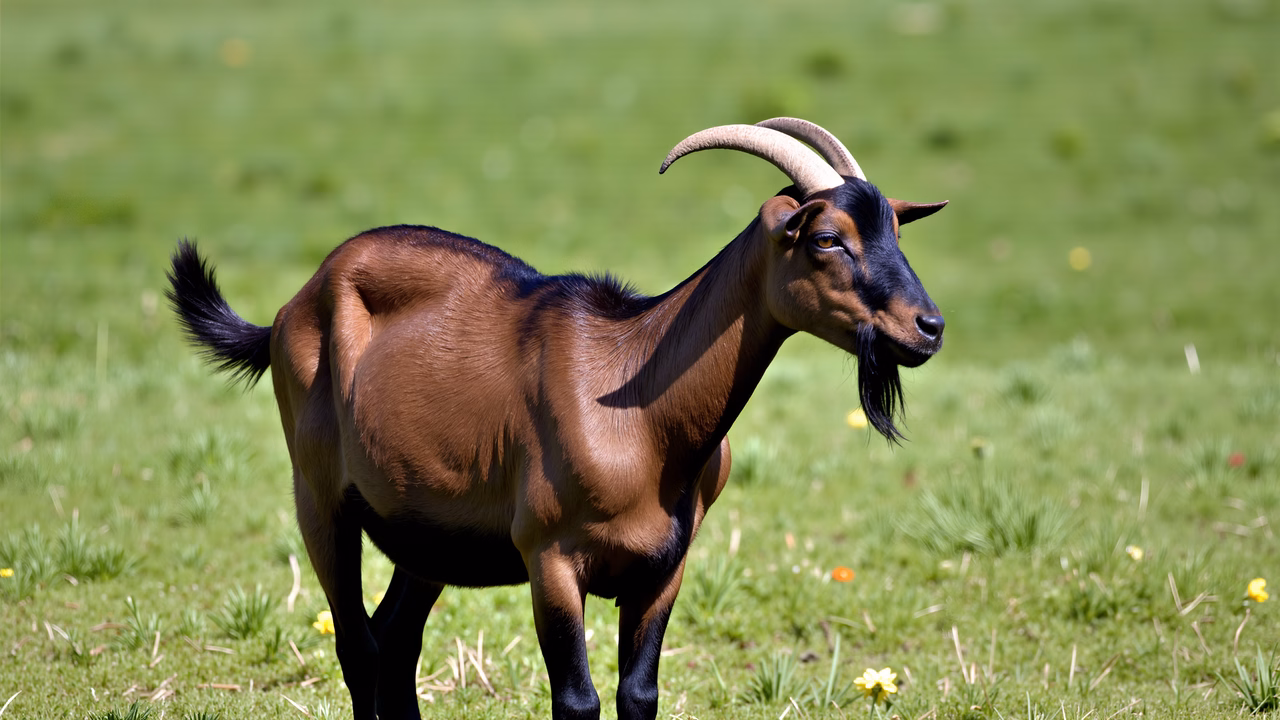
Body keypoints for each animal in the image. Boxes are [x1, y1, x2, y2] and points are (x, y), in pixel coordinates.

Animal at [167, 117, 948, 720]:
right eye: (826, 238)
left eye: (896, 233)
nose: (929, 327)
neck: (642, 408)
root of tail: (294, 304)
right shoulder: (550, 556)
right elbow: (577, 700)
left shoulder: (665, 565)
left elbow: (638, 695)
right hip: (319, 494)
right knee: (359, 645)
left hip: (428, 527)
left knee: (396, 641)